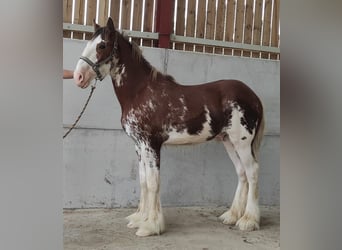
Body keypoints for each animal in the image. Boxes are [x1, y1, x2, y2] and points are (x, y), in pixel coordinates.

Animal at [73, 17, 264, 236]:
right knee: (242, 173)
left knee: (252, 172)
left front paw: (151, 226)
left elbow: (153, 182)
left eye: (102, 45)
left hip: (242, 143)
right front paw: (139, 218)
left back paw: (249, 220)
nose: (78, 77)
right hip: (229, 142)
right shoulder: (139, 146)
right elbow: (143, 181)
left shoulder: (151, 144)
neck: (140, 92)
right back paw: (232, 216)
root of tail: (253, 96)